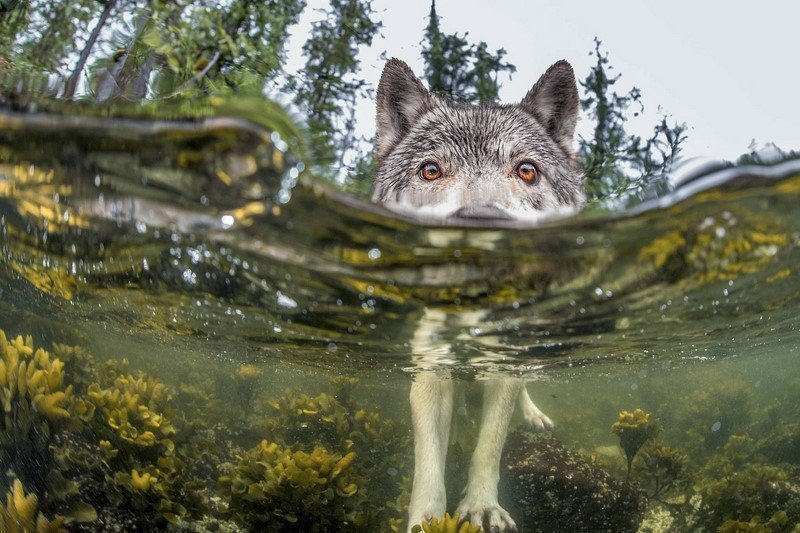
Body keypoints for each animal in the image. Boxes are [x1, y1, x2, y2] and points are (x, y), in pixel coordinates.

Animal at [372, 59, 584, 532]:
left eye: (526, 170)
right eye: (431, 171)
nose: (482, 222)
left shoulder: (502, 367)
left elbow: (489, 447)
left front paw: (482, 507)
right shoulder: (430, 369)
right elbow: (428, 463)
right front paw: (425, 520)